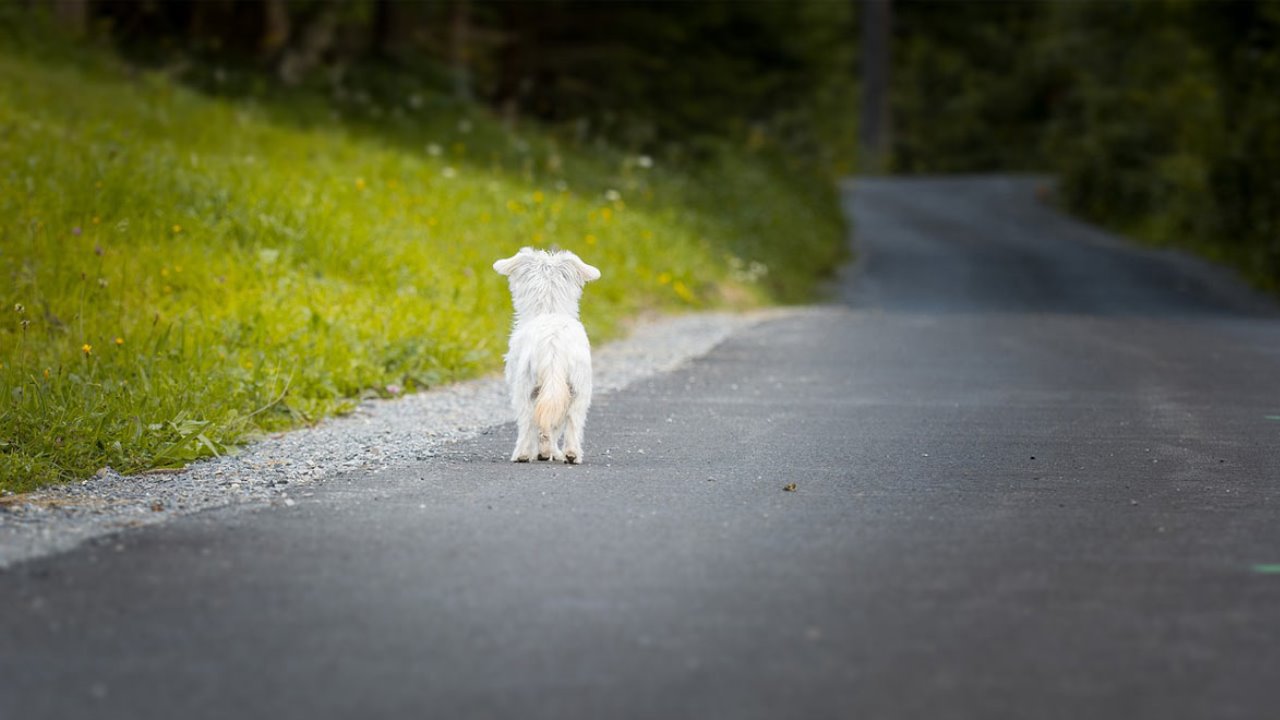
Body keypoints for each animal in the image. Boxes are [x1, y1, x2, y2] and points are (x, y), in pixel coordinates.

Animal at [494, 243, 604, 461]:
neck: (549, 309)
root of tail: (553, 346)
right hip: (579, 390)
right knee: (572, 421)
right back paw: (571, 454)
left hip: (525, 388)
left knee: (528, 422)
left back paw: (524, 454)